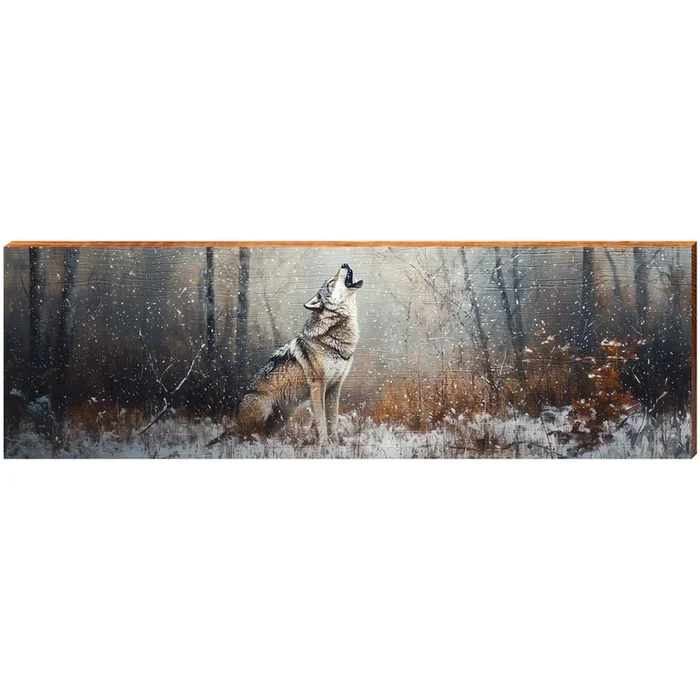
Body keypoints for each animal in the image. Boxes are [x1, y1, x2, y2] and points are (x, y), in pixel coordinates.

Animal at [212, 263, 363, 446]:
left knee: (262, 434)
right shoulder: (317, 386)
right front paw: (324, 446)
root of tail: (236, 418)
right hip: (263, 409)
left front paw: (336, 445)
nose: (344, 264)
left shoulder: (335, 386)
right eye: (331, 282)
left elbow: (332, 421)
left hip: (283, 417)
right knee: (248, 436)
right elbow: (321, 421)